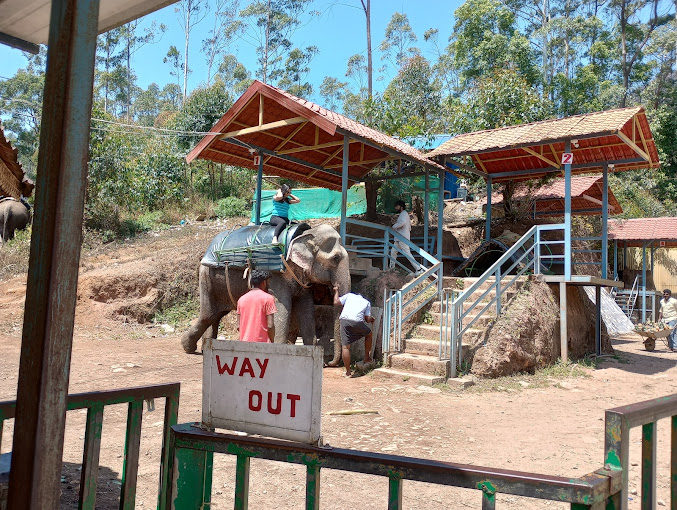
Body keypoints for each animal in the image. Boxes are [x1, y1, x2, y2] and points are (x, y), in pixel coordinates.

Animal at [182, 223, 352, 362]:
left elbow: (307, 310)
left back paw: (205, 347)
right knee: (208, 315)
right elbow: (282, 311)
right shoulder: (278, 277)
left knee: (216, 315)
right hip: (206, 276)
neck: (304, 236)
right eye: (336, 258)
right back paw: (189, 348)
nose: (329, 362)